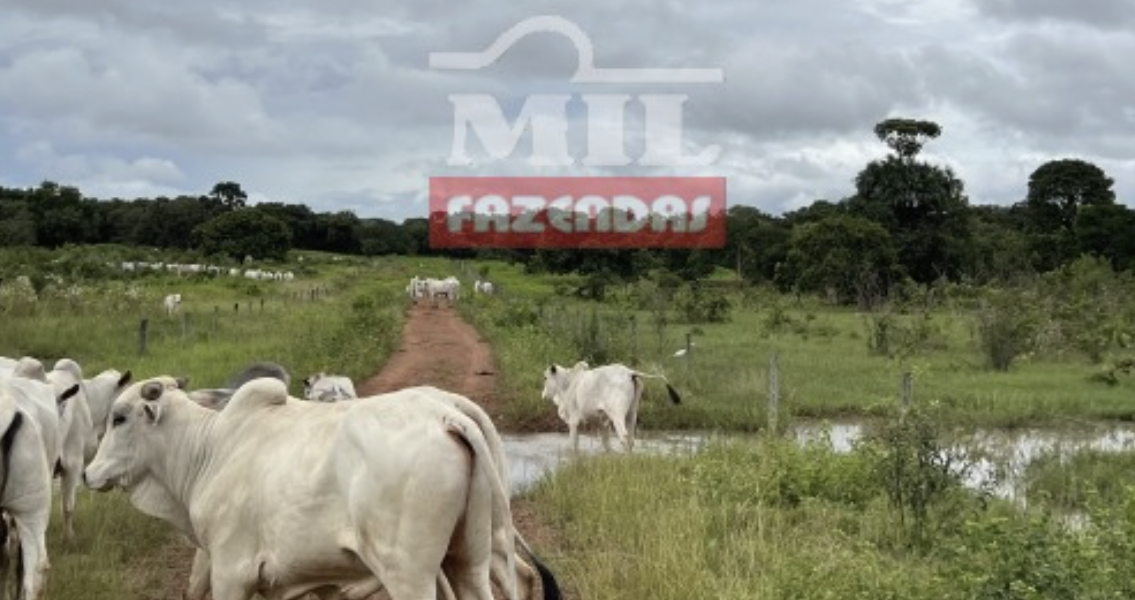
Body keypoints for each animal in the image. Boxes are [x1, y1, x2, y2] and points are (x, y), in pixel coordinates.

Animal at [86, 376, 524, 598]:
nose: (89, 474)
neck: (210, 450)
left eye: (119, 417)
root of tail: (444, 414)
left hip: (409, 575)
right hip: (469, 560)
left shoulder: (232, 570)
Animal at [540, 358, 681, 451]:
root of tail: (629, 372)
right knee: (631, 439)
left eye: (545, 378)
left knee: (624, 437)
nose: (543, 395)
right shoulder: (603, 422)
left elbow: (572, 446)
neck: (568, 384)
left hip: (617, 414)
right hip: (632, 414)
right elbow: (606, 445)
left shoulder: (574, 421)